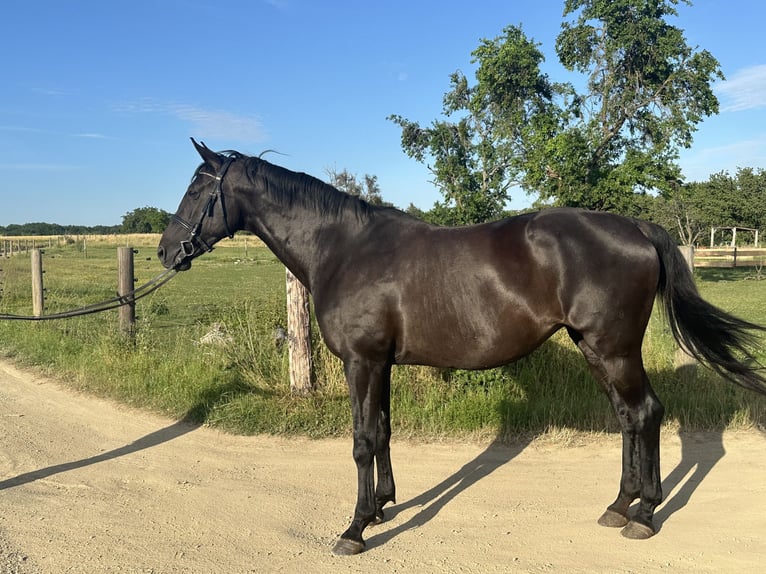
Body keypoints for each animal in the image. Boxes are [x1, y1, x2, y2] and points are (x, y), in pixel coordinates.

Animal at [157, 139, 766, 555]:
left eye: (197, 188)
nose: (166, 250)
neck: (344, 248)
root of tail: (638, 228)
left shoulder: (362, 362)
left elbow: (361, 440)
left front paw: (354, 529)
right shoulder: (380, 364)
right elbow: (383, 432)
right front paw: (382, 507)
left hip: (613, 348)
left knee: (645, 413)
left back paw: (644, 515)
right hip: (597, 349)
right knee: (629, 417)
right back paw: (620, 506)